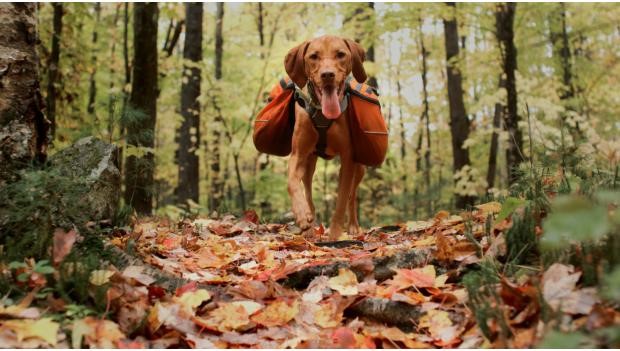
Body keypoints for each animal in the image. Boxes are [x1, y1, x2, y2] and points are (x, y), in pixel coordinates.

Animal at [286, 35, 368, 241]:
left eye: (340, 54)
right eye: (313, 56)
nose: (327, 75)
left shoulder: (348, 159)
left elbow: (342, 199)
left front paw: (335, 234)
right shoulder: (298, 154)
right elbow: (292, 183)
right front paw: (301, 215)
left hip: (360, 168)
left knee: (352, 196)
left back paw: (353, 226)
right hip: (309, 163)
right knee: (307, 189)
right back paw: (309, 223)